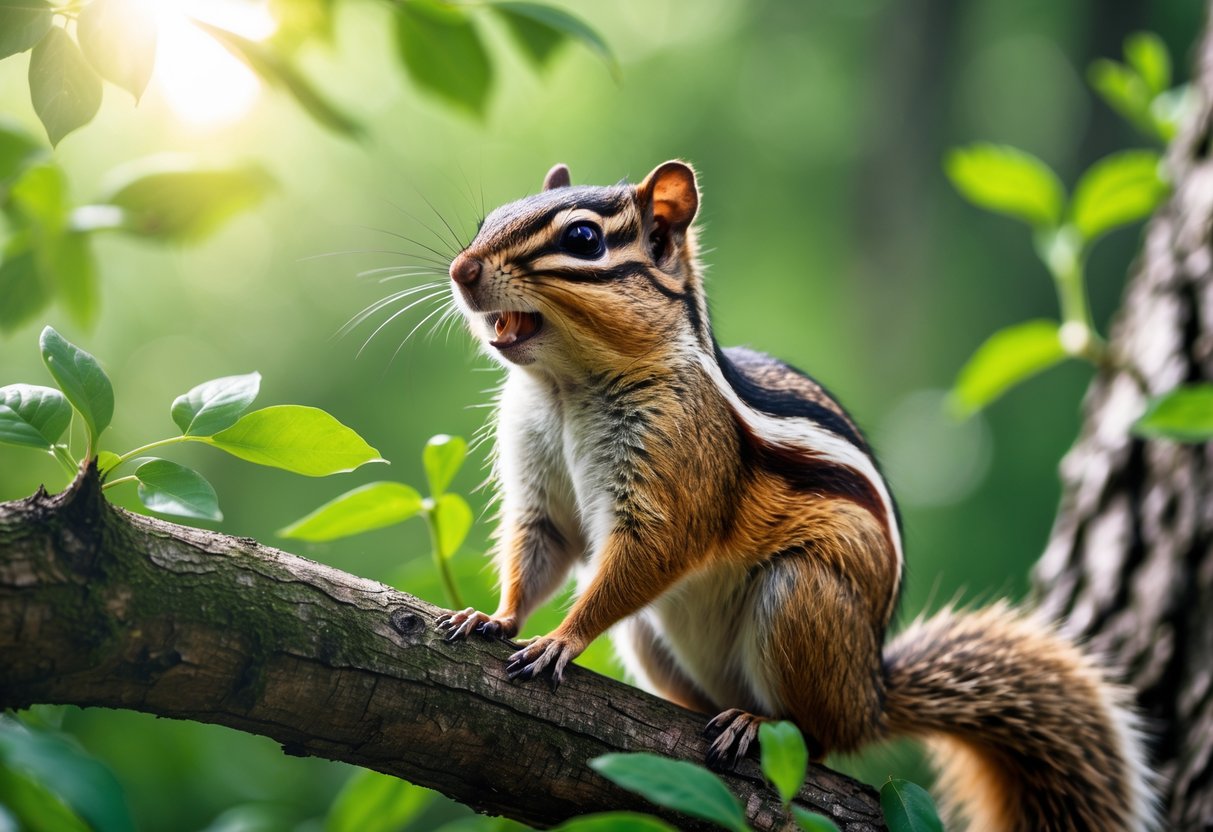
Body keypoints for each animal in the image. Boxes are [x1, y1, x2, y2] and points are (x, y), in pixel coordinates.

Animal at [436, 160, 1157, 831]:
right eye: (487, 219)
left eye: (583, 239)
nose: (461, 269)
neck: (566, 387)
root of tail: (870, 696)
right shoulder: (539, 485)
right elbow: (540, 550)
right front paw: (493, 617)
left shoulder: (678, 465)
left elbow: (659, 548)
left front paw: (561, 639)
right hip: (655, 635)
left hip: (801, 598)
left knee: (819, 735)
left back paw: (758, 722)